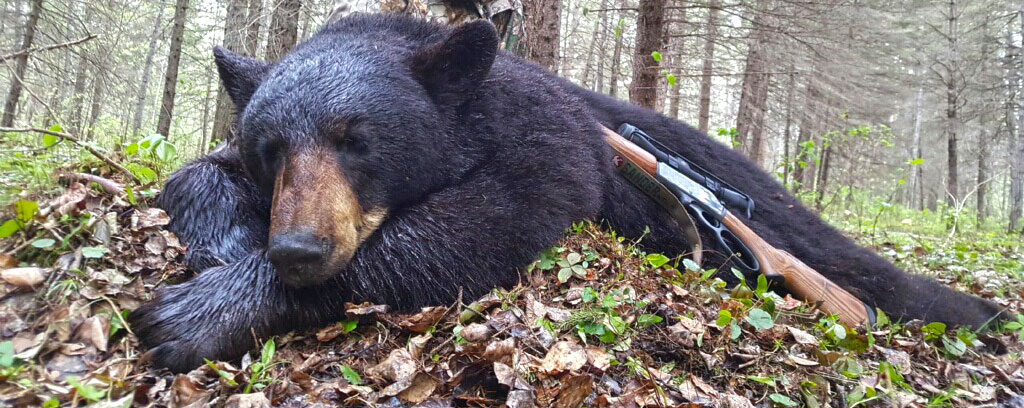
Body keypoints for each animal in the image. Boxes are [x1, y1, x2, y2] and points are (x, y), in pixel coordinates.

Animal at [130, 13, 1004, 373]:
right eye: (271, 149)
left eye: (358, 140)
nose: (299, 248)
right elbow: (190, 168)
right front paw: (224, 235)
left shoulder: (551, 139)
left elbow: (488, 221)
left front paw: (196, 313)